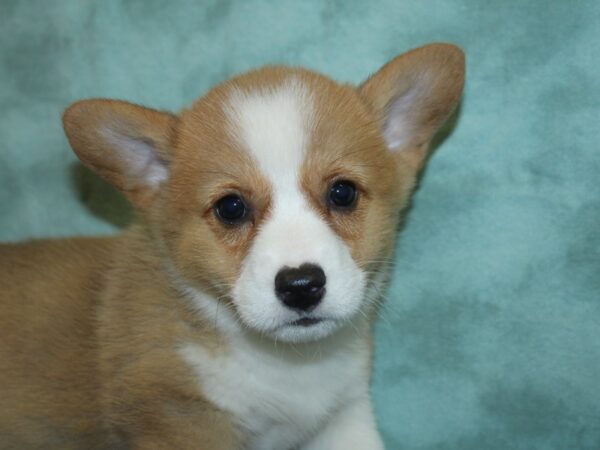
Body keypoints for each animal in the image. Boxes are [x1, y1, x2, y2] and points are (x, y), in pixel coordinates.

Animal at [0, 43, 464, 450]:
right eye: (231, 207)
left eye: (343, 193)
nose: (301, 286)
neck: (288, 364)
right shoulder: (182, 421)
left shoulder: (345, 418)